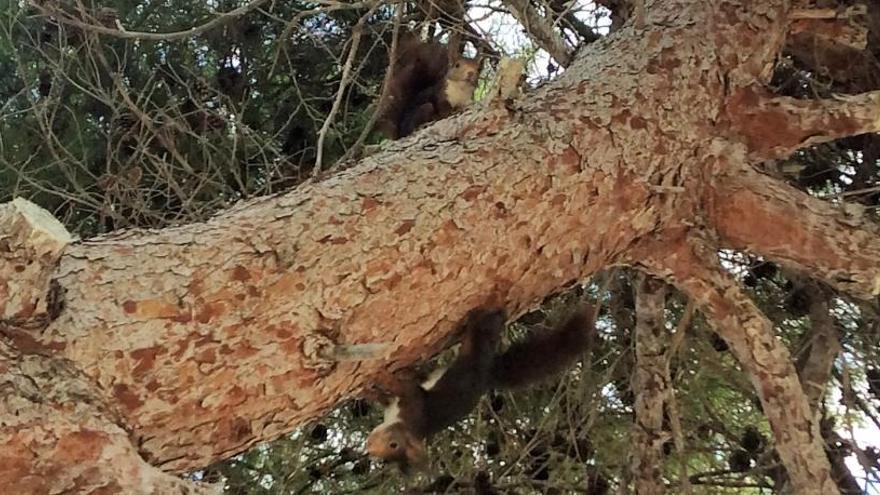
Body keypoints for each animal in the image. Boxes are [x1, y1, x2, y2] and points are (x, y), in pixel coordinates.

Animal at [364, 306, 600, 472]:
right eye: (386, 456)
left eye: (393, 445)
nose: (370, 447)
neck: (405, 424)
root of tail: (489, 375)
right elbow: (386, 397)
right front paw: (374, 390)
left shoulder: (413, 402)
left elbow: (402, 387)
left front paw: (380, 377)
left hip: (475, 347)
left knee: (483, 328)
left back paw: (488, 313)